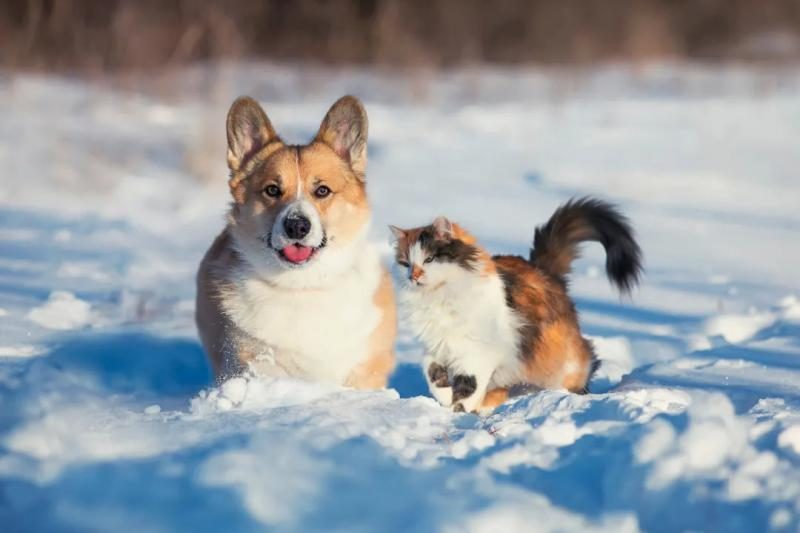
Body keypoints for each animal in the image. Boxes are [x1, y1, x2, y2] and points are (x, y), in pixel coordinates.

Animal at [390, 197, 644, 414]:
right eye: (406, 264)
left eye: (429, 259)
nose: (414, 276)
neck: (438, 297)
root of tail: (542, 270)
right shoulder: (435, 346)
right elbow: (431, 370)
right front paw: (444, 397)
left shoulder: (478, 352)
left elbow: (470, 385)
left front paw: (460, 410)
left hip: (561, 361)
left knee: (588, 362)